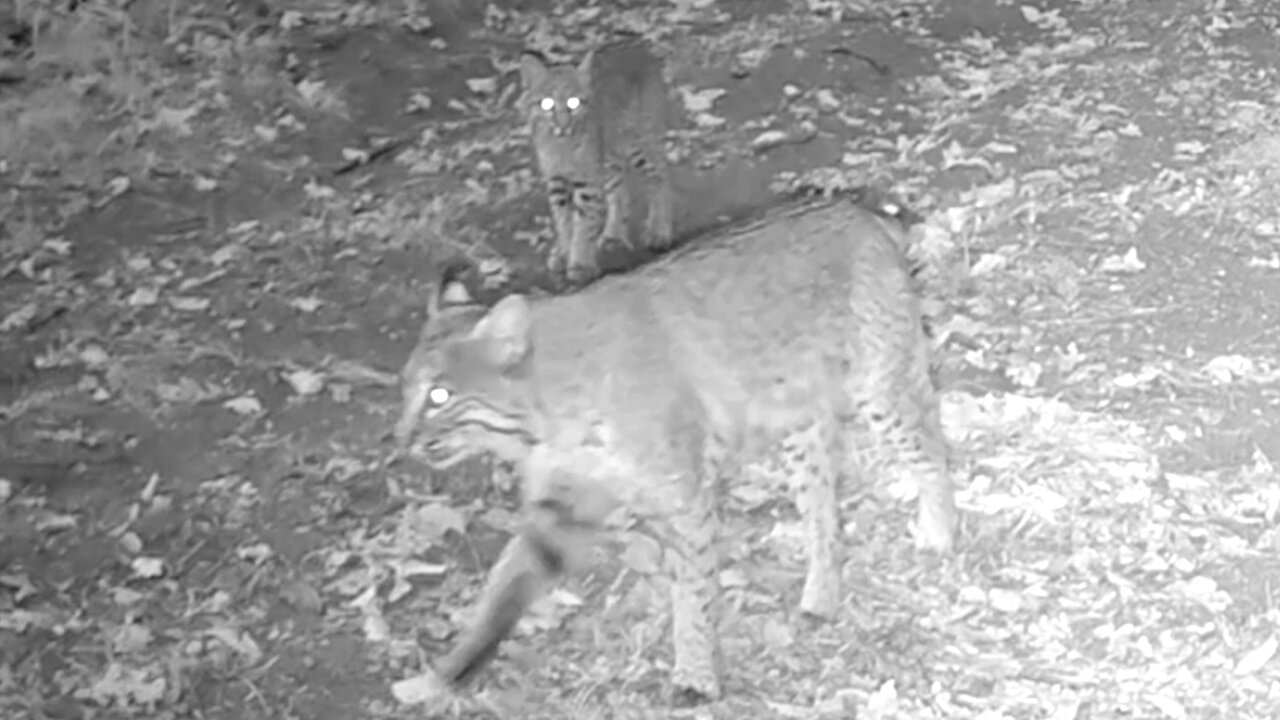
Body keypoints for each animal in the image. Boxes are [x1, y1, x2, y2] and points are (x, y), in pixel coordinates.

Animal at [394, 196, 957, 702]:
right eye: (405, 390)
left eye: (440, 397)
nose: (400, 441)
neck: (545, 419)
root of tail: (861, 212)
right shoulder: (558, 510)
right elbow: (502, 590)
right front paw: (443, 676)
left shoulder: (685, 496)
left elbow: (691, 590)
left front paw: (694, 677)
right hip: (803, 422)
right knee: (824, 510)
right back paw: (821, 596)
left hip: (880, 387)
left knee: (932, 447)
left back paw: (939, 534)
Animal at [517, 35, 675, 283]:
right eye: (546, 103)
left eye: (573, 102)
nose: (562, 124)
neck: (562, 143)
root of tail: (635, 44)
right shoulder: (556, 179)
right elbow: (563, 220)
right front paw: (564, 253)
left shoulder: (586, 180)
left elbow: (582, 222)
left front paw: (579, 264)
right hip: (608, 154)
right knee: (619, 187)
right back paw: (613, 235)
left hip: (639, 139)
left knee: (660, 176)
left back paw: (659, 232)